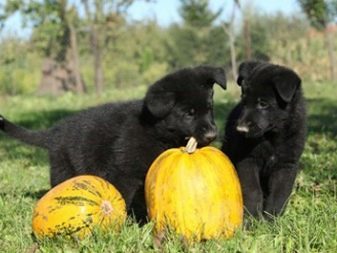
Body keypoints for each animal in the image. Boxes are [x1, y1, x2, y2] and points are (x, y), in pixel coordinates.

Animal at [1, 65, 226, 221]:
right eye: (189, 114)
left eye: (209, 109)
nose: (213, 134)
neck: (155, 132)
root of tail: (54, 132)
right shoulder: (124, 173)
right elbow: (123, 198)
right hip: (64, 170)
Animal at [222, 61, 306, 219]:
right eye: (244, 101)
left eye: (263, 104)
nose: (241, 130)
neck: (271, 137)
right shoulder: (247, 160)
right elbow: (253, 190)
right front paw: (253, 218)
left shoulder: (286, 164)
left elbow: (279, 194)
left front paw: (272, 219)